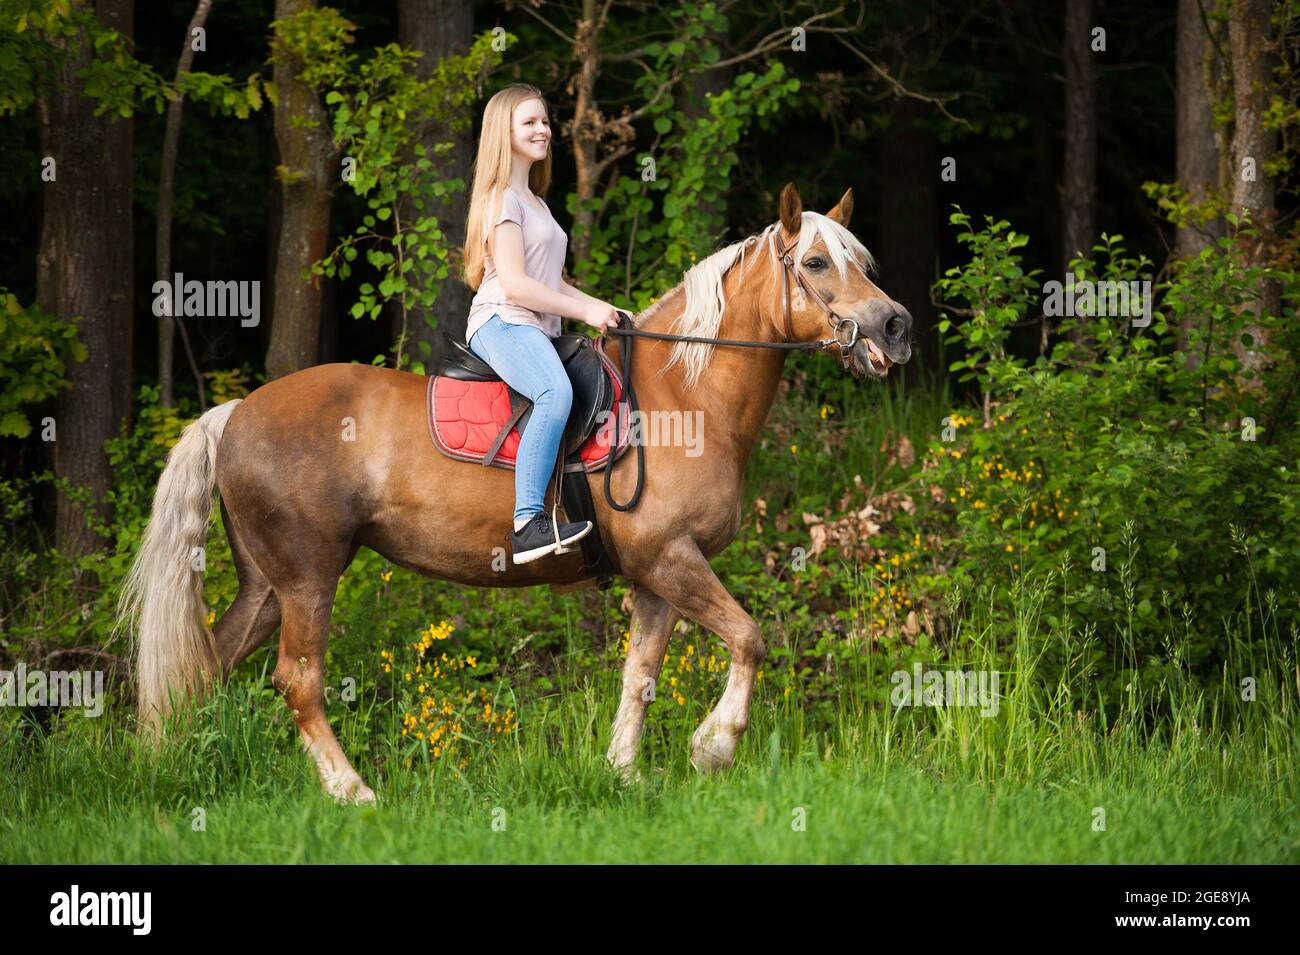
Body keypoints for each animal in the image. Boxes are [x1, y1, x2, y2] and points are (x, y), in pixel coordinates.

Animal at [124, 183, 915, 805]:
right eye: (815, 263)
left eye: (862, 263)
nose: (894, 325)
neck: (684, 400)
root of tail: (235, 413)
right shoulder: (671, 558)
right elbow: (750, 637)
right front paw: (713, 747)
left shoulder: (658, 574)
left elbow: (640, 674)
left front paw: (623, 773)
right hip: (307, 576)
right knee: (298, 679)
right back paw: (353, 791)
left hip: (266, 584)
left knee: (204, 666)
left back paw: (170, 771)